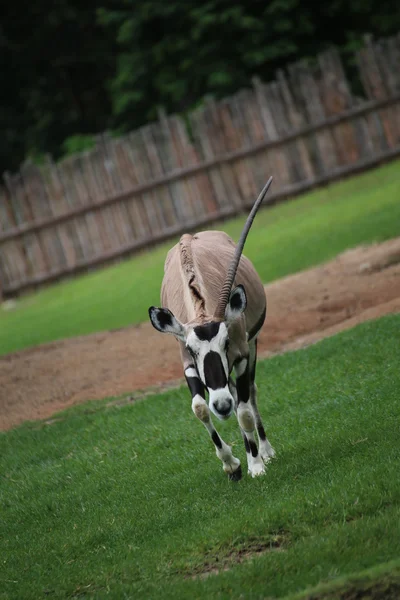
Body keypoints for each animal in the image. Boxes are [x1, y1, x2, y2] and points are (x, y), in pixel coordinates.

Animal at [148, 177, 276, 478]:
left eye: (226, 342)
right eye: (192, 349)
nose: (222, 405)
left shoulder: (241, 355)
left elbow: (243, 411)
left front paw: (255, 465)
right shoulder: (187, 363)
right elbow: (199, 408)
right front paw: (231, 464)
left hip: (252, 346)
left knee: (249, 395)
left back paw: (264, 450)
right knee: (234, 395)